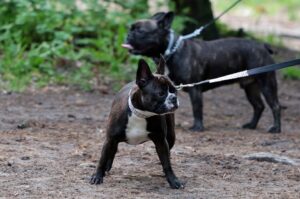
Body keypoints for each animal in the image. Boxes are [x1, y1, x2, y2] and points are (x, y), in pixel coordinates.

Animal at [89, 58, 184, 189]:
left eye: (174, 90)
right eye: (161, 93)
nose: (174, 98)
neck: (141, 114)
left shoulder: (161, 141)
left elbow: (166, 163)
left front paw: (173, 180)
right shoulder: (110, 138)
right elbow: (102, 159)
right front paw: (97, 176)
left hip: (170, 136)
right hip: (112, 139)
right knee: (112, 150)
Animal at [122, 11, 282, 134]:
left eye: (140, 31)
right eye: (131, 29)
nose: (128, 35)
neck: (172, 51)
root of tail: (263, 46)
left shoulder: (195, 89)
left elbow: (197, 108)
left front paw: (198, 127)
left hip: (267, 83)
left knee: (275, 105)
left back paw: (275, 129)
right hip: (250, 86)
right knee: (258, 106)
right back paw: (252, 125)